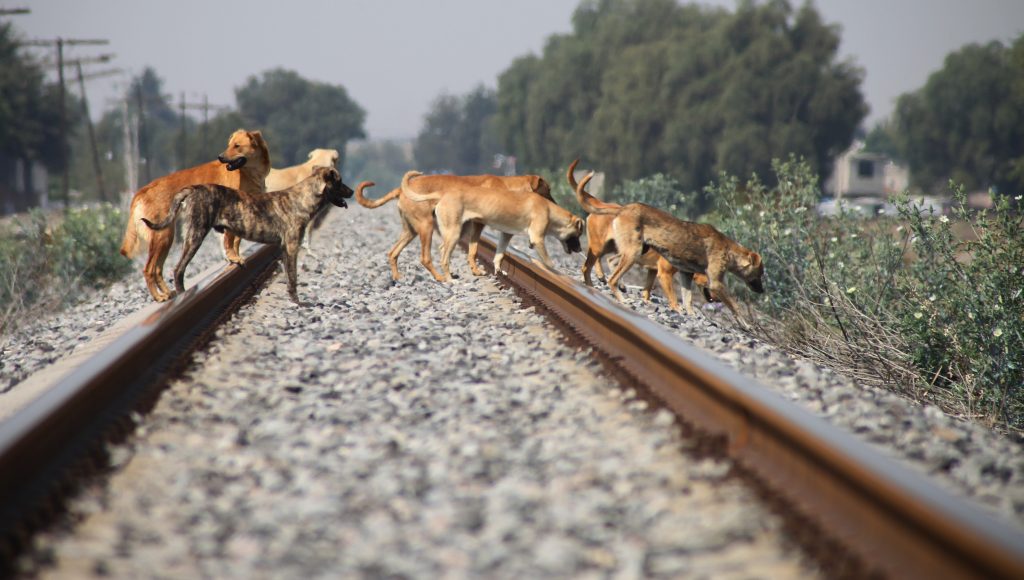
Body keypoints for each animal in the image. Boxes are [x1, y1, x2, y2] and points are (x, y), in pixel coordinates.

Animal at [118, 129, 272, 303]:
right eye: (229, 145)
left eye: (237, 146)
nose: (220, 157)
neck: (250, 172)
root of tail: (142, 190)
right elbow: (230, 240)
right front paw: (233, 258)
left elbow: (236, 241)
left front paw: (235, 258)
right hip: (162, 237)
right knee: (149, 270)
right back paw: (159, 297)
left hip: (166, 238)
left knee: (157, 269)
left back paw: (168, 293)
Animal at [358, 173, 552, 282]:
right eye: (548, 190)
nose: (554, 203)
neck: (507, 186)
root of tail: (401, 189)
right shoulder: (478, 224)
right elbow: (473, 251)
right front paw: (476, 270)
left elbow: (472, 251)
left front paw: (475, 271)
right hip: (427, 227)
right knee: (425, 258)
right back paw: (441, 278)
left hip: (411, 231)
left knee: (393, 253)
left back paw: (398, 278)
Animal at [573, 159, 716, 317]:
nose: (718, 299)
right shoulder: (664, 274)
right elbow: (672, 296)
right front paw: (677, 308)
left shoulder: (652, 271)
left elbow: (647, 290)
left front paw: (647, 302)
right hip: (607, 246)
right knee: (595, 263)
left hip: (617, 247)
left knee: (608, 261)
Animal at [577, 172, 761, 323]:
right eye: (761, 273)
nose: (761, 290)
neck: (729, 250)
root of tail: (623, 208)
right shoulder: (671, 275)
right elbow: (731, 306)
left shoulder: (680, 274)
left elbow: (683, 299)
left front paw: (688, 313)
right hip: (623, 251)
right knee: (609, 275)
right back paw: (619, 297)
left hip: (629, 249)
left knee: (602, 264)